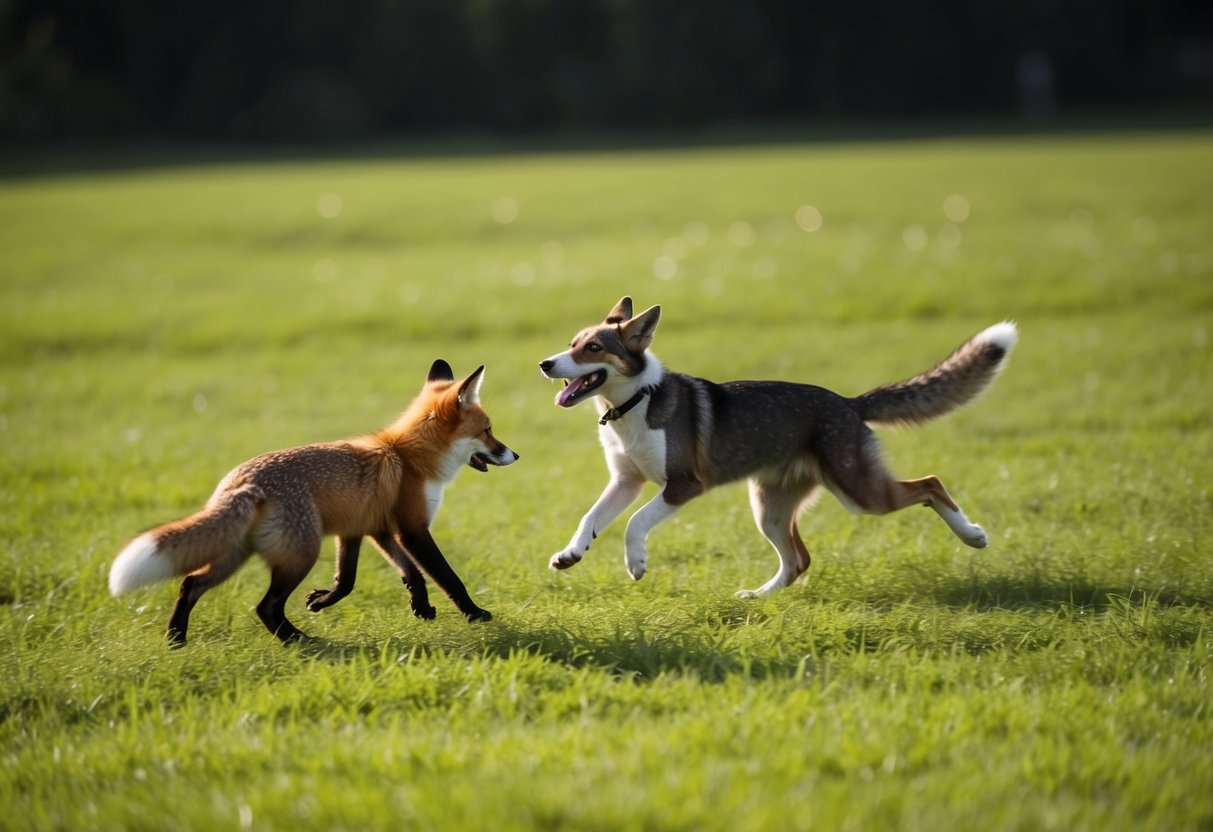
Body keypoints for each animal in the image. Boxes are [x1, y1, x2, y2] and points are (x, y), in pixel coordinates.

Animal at [109, 360, 518, 646]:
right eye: (488, 431)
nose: (515, 454)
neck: (408, 458)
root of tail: (243, 481)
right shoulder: (412, 529)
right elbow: (448, 578)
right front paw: (476, 615)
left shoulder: (368, 530)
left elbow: (366, 578)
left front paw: (414, 606)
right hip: (300, 553)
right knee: (265, 605)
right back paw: (297, 640)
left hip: (234, 554)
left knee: (190, 584)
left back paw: (176, 638)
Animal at [539, 297, 1016, 597]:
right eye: (571, 344)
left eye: (593, 347)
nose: (545, 363)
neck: (637, 400)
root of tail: (849, 403)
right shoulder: (626, 481)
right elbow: (590, 518)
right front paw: (569, 555)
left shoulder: (683, 485)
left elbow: (636, 522)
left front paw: (636, 564)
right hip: (769, 507)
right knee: (798, 560)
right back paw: (756, 597)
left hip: (860, 492)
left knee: (931, 483)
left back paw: (973, 536)